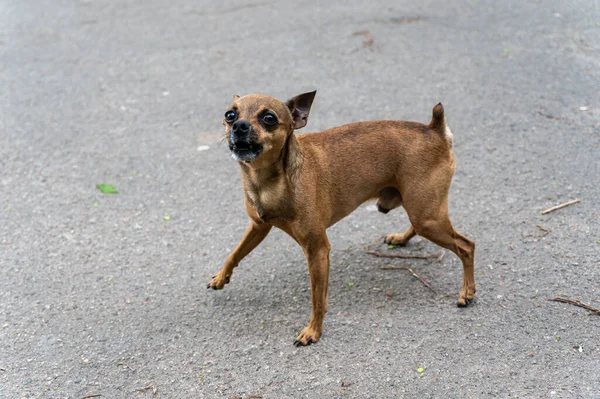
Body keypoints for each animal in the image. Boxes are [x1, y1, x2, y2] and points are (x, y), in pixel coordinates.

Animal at [209, 91, 476, 346]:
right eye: (230, 115)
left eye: (269, 118)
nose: (239, 126)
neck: (268, 183)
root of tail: (434, 130)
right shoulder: (258, 227)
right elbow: (235, 253)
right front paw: (221, 277)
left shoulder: (317, 250)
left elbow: (317, 298)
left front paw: (313, 332)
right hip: (418, 209)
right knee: (423, 228)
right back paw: (400, 239)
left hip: (427, 218)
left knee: (466, 246)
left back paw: (467, 293)